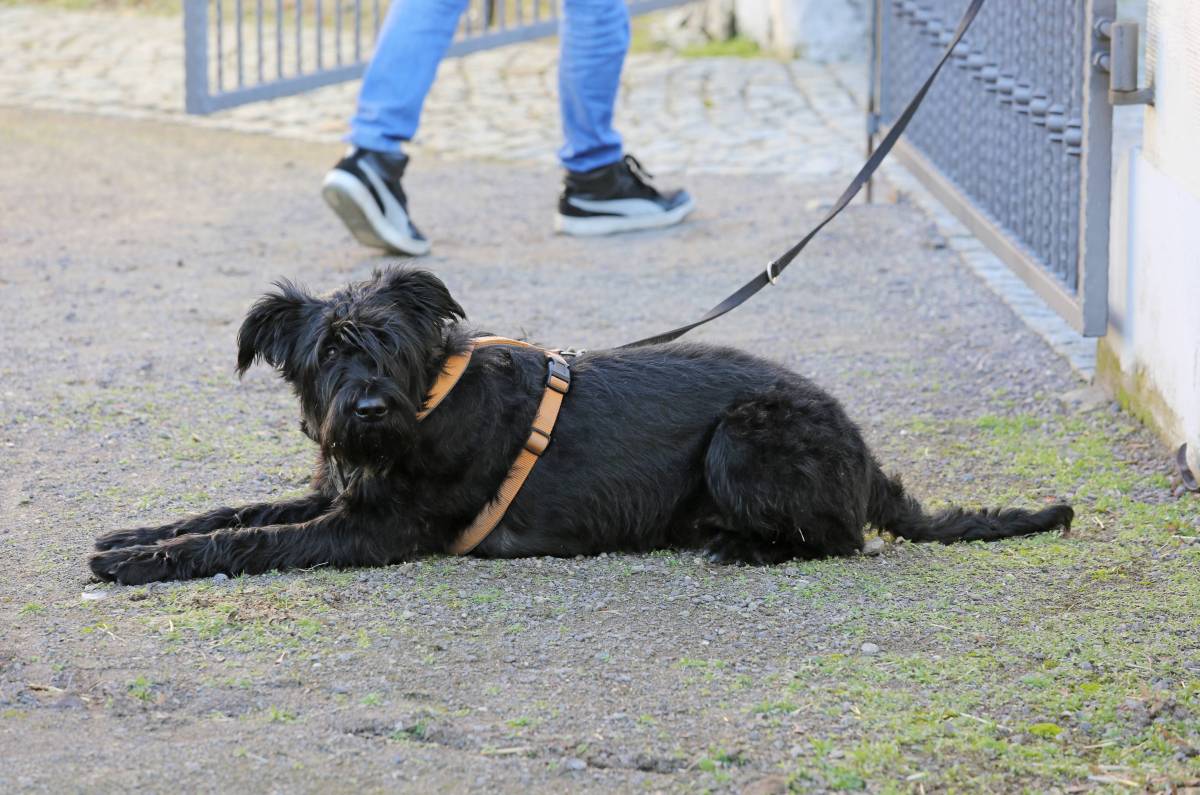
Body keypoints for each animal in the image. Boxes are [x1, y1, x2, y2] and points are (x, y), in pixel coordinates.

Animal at [88, 267, 1075, 586]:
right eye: (327, 351)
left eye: (391, 344)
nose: (366, 410)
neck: (426, 402)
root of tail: (864, 454)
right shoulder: (334, 490)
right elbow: (226, 513)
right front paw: (130, 537)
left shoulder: (374, 527)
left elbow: (249, 539)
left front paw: (138, 565)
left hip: (745, 436)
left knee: (837, 539)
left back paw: (738, 543)